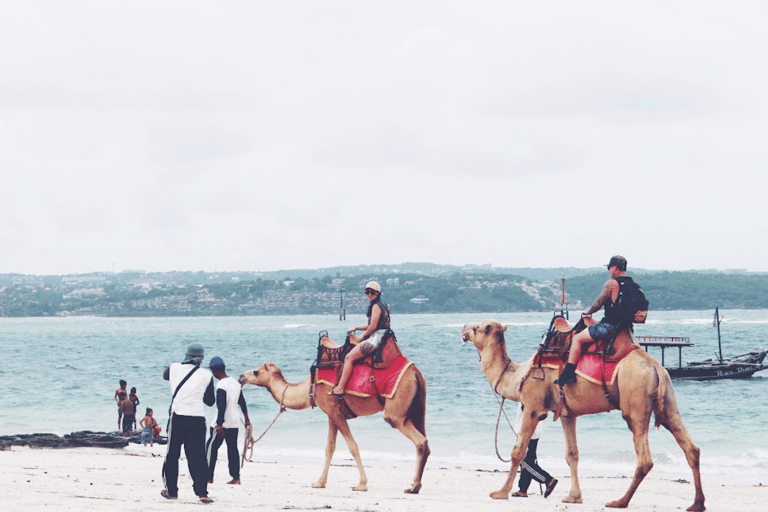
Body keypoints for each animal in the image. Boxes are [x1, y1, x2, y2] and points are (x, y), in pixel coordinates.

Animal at [237, 358, 428, 494]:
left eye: (256, 371)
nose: (241, 376)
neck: (310, 389)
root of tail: (416, 372)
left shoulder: (335, 412)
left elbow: (352, 446)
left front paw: (361, 485)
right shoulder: (331, 414)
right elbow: (330, 447)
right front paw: (319, 483)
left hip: (396, 410)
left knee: (418, 439)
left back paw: (413, 487)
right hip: (418, 408)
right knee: (425, 441)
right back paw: (415, 486)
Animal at [460, 318, 704, 510]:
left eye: (479, 327)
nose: (463, 328)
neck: (520, 374)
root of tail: (657, 367)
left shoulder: (533, 407)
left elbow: (518, 451)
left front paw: (500, 493)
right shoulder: (568, 414)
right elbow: (572, 454)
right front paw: (573, 497)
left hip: (635, 405)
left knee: (645, 459)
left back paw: (620, 501)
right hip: (669, 402)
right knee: (691, 448)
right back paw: (697, 504)